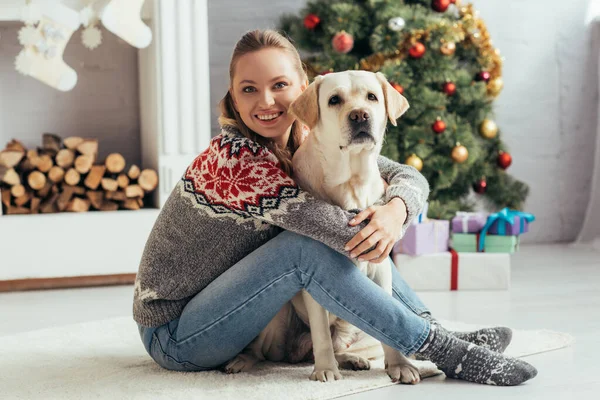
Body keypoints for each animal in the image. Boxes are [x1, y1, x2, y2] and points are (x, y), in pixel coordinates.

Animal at [221, 71, 422, 384]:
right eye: (334, 100)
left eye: (372, 97)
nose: (360, 115)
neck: (352, 181)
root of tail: (292, 355)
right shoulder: (313, 272)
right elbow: (321, 335)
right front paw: (325, 369)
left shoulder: (380, 267)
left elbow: (389, 322)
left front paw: (399, 364)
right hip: (277, 316)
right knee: (263, 351)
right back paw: (244, 360)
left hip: (350, 327)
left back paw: (353, 359)